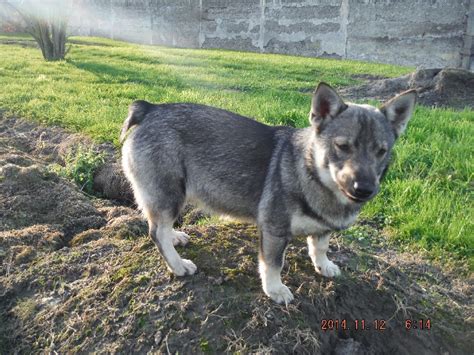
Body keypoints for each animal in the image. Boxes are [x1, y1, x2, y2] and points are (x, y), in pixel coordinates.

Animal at [120, 82, 416, 304]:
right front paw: (275, 290)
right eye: (343, 146)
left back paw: (176, 237)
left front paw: (324, 265)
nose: (364, 189)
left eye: (381, 151)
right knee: (156, 232)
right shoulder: (274, 230)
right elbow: (274, 264)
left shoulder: (323, 228)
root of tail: (149, 108)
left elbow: (320, 246)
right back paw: (178, 265)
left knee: (160, 225)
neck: (310, 171)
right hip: (170, 194)